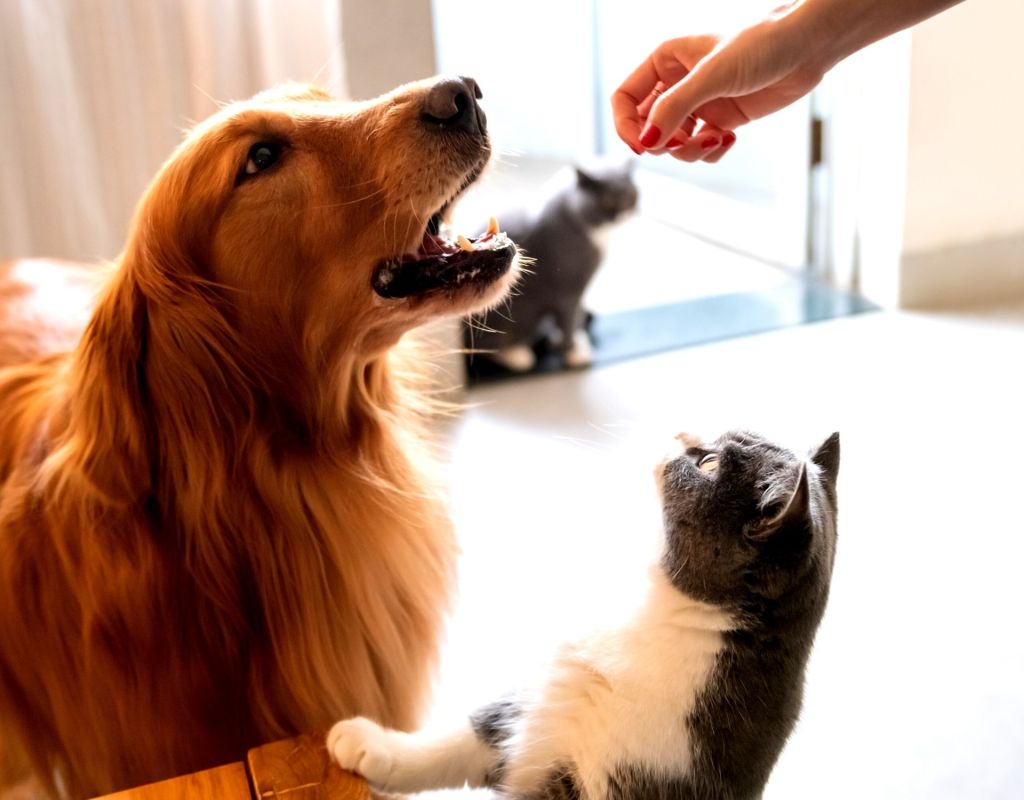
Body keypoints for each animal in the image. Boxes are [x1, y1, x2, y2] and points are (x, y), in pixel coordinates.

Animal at [327, 430, 839, 798]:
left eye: (709, 464)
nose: (682, 433)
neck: (658, 615)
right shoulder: (541, 697)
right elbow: (467, 734)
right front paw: (373, 745)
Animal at [466, 162, 638, 374]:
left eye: (630, 195)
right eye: (606, 202)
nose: (623, 213)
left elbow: (573, 321)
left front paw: (571, 342)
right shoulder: (568, 291)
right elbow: (568, 322)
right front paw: (573, 354)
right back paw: (519, 355)